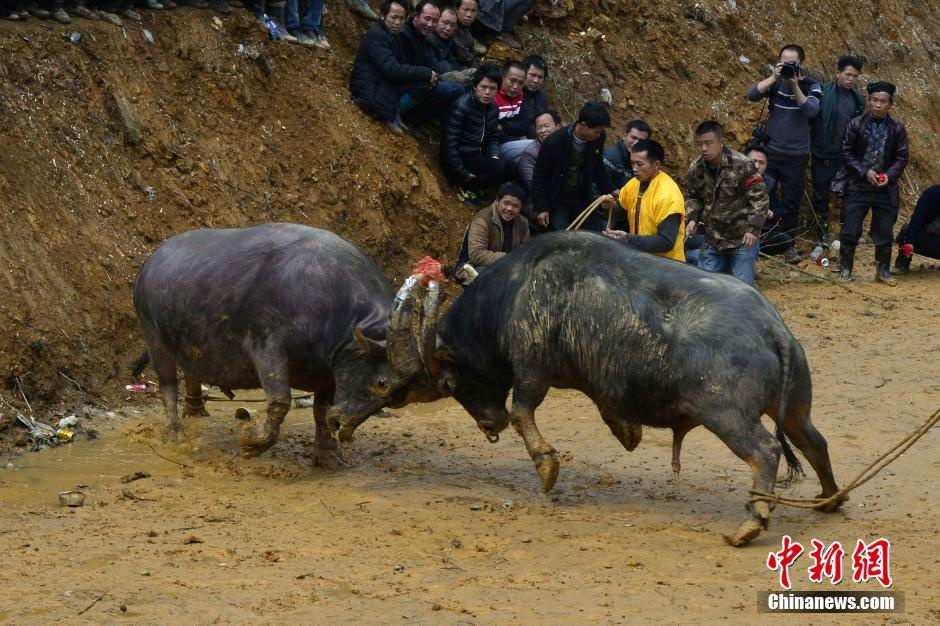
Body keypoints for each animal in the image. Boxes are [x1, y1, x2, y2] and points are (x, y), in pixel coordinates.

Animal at [132, 222, 426, 460]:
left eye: (397, 398)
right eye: (382, 383)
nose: (343, 428)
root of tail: (148, 265)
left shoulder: (329, 373)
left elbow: (321, 410)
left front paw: (328, 457)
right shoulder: (266, 345)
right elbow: (280, 400)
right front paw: (251, 442)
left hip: (187, 342)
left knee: (191, 371)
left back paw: (196, 411)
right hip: (154, 338)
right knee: (168, 388)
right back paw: (174, 433)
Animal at [372, 232, 844, 544]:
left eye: (448, 382)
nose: (491, 425)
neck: (519, 289)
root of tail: (772, 328)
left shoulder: (531, 370)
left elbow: (524, 412)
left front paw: (546, 467)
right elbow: (607, 408)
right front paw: (627, 432)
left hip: (726, 415)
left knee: (766, 450)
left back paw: (752, 522)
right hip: (795, 407)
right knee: (815, 442)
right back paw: (829, 499)